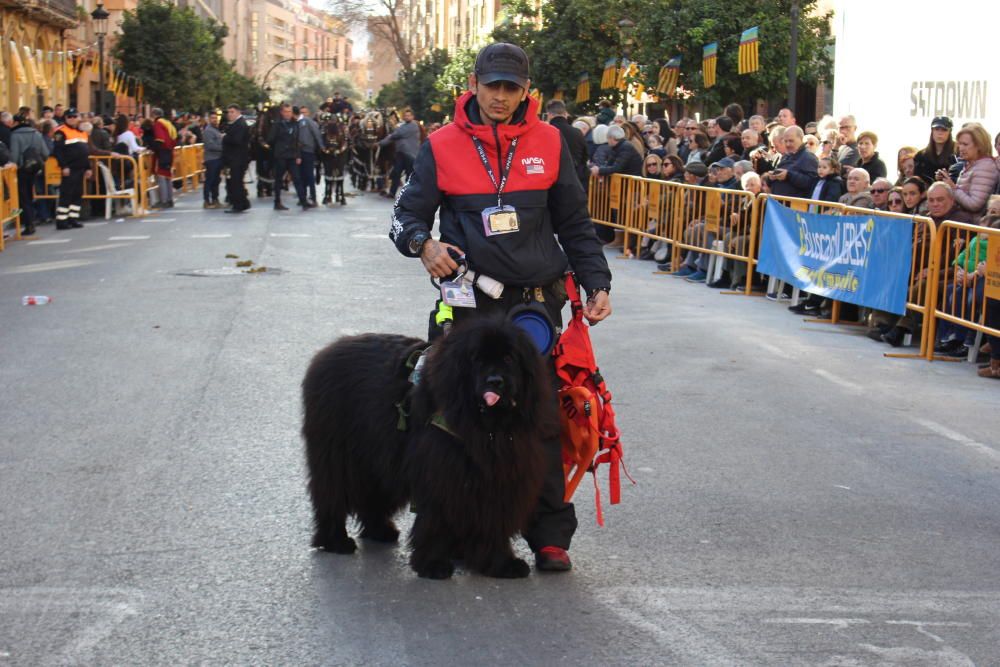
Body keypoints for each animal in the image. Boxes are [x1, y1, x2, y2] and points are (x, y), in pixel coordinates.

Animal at [300, 318, 560, 580]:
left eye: (509, 358)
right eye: (477, 359)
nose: (495, 381)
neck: (486, 426)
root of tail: (328, 351)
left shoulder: (500, 475)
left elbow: (493, 518)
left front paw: (501, 563)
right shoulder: (441, 472)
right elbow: (437, 518)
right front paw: (433, 564)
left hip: (378, 458)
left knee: (373, 495)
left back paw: (379, 530)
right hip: (338, 455)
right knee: (331, 494)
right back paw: (335, 541)